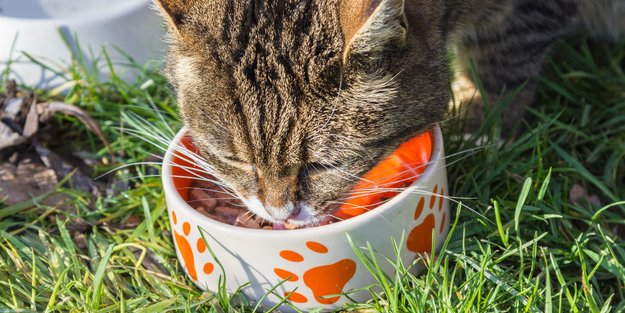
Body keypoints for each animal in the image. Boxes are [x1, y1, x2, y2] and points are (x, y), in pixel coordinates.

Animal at [152, 0, 624, 224]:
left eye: (324, 165)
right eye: (234, 159)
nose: (280, 214)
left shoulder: (525, 15)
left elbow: (502, 59)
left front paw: (480, 123)